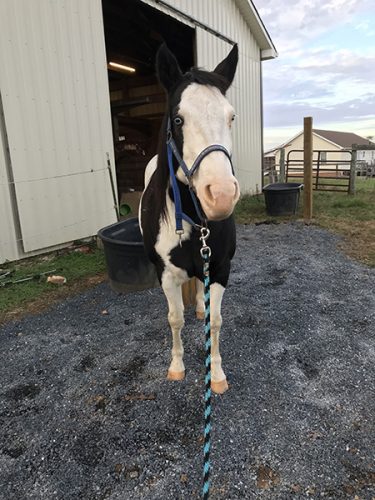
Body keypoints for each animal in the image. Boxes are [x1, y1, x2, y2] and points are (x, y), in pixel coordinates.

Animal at [139, 44, 241, 394]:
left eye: (231, 117)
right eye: (179, 119)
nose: (220, 195)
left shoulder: (220, 268)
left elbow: (215, 321)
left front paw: (217, 374)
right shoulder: (166, 274)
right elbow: (175, 319)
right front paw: (176, 366)